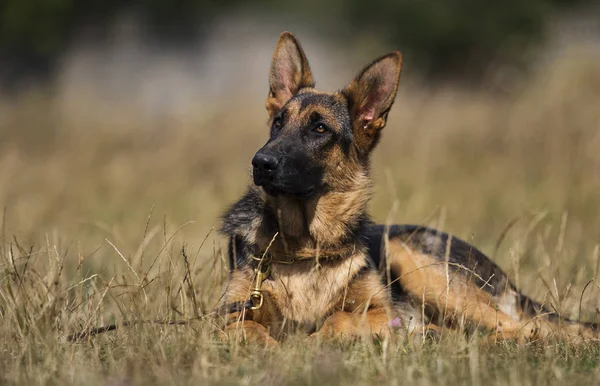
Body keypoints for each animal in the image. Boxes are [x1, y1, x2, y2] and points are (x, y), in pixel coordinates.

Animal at [219, 30, 596, 344]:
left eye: (320, 129)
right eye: (278, 123)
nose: (260, 163)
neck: (306, 248)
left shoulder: (381, 312)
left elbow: (340, 318)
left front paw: (308, 344)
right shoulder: (227, 317)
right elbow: (249, 327)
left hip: (415, 262)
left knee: (524, 328)